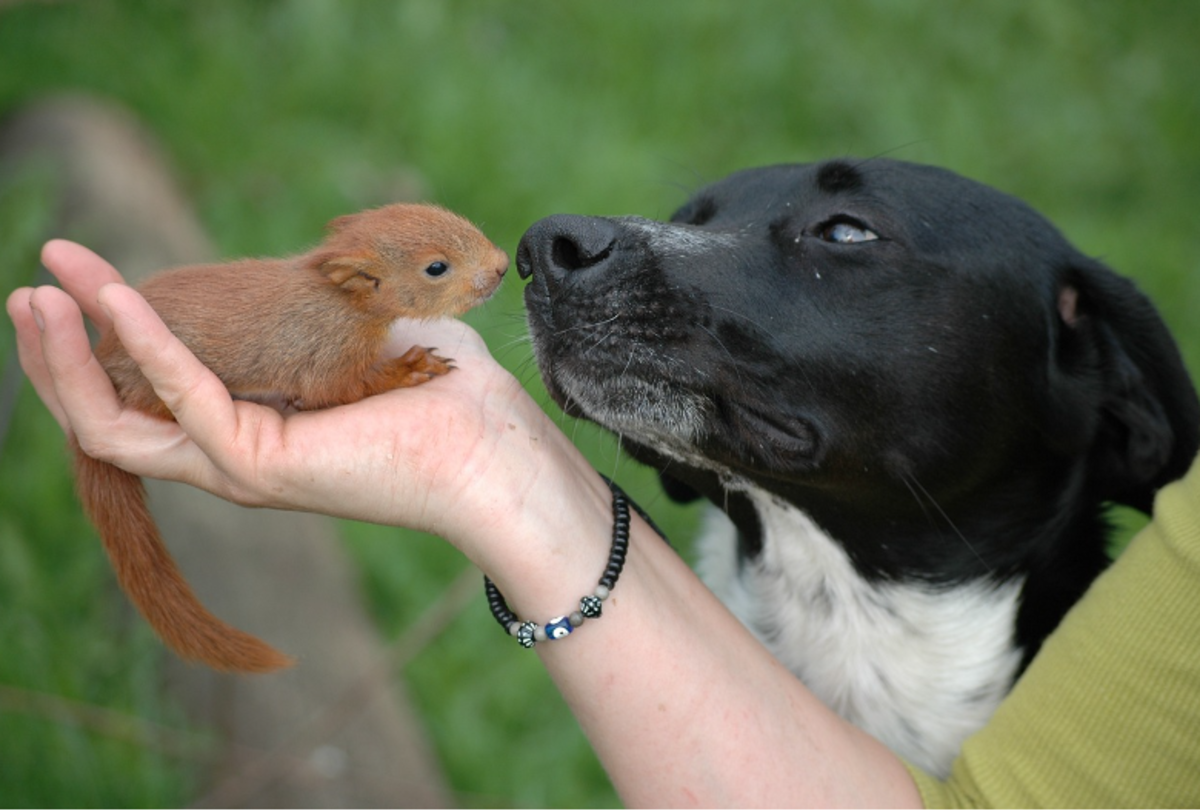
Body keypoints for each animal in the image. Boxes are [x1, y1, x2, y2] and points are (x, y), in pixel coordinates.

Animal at [72, 203, 508, 673]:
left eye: (450, 215)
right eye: (436, 268)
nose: (503, 265)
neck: (343, 301)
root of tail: (105, 359)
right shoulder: (326, 354)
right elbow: (337, 389)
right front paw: (412, 367)